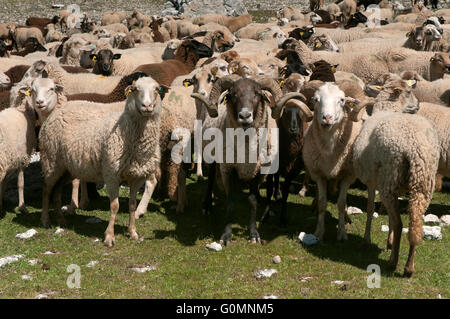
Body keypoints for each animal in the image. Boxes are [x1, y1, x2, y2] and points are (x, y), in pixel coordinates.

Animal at [38, 76, 162, 246]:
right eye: (135, 89)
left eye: (156, 89)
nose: (147, 106)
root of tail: (57, 111)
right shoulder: (111, 174)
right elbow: (115, 206)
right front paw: (109, 236)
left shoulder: (137, 177)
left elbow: (132, 205)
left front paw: (133, 232)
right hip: (51, 161)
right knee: (46, 189)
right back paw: (45, 220)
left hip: (67, 168)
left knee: (56, 191)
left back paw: (61, 220)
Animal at [302, 82, 370, 240]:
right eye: (316, 99)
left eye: (342, 100)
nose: (326, 118)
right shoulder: (318, 175)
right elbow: (322, 203)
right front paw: (319, 232)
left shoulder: (348, 176)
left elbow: (341, 203)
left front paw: (342, 233)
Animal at [352, 79, 440, 276]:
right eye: (408, 91)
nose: (418, 105)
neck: (388, 109)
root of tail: (414, 147)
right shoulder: (391, 186)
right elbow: (388, 215)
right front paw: (389, 243)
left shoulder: (373, 182)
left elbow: (371, 209)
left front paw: (367, 239)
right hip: (422, 182)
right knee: (415, 221)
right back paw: (409, 267)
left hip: (391, 177)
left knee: (400, 224)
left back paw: (393, 262)